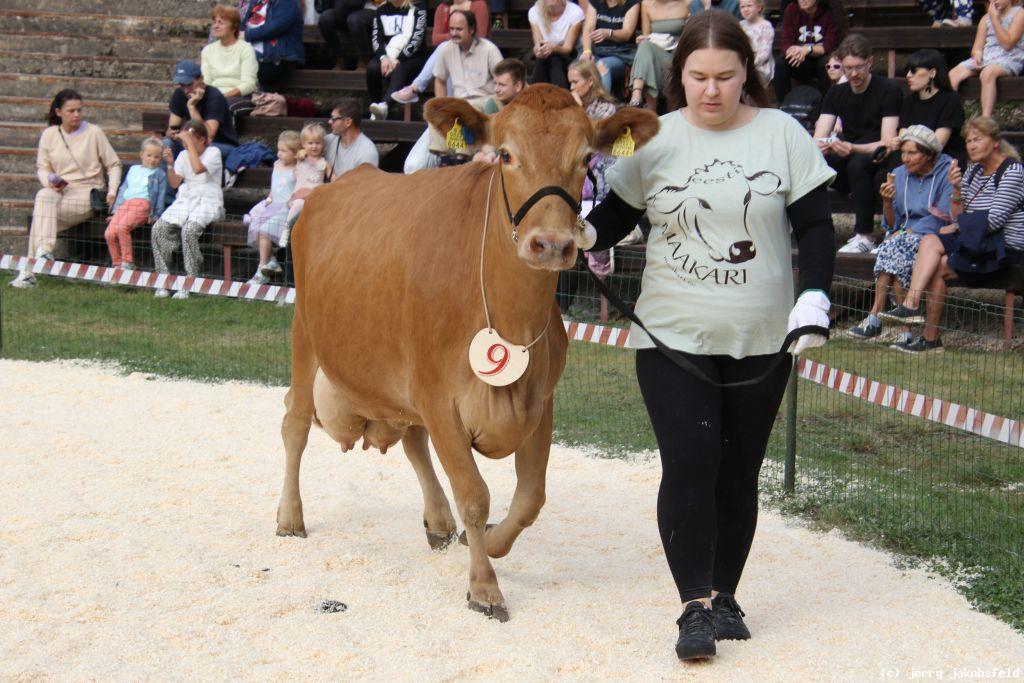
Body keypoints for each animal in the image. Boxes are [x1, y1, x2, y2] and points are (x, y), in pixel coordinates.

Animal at [275, 84, 659, 621]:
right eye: (505, 155)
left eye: (586, 159)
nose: (551, 244)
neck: (512, 319)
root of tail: (337, 184)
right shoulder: (441, 399)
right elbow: (474, 495)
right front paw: (484, 587)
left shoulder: (540, 401)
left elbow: (530, 498)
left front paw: (493, 545)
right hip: (306, 336)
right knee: (295, 422)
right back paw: (290, 516)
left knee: (413, 441)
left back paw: (438, 522)